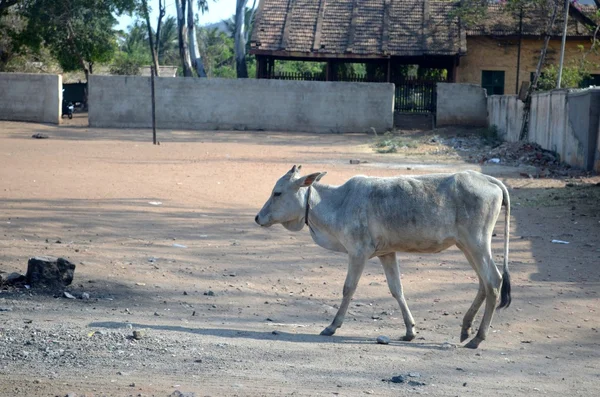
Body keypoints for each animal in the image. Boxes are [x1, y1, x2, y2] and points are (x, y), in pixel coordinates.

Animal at [253, 164, 510, 346]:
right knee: (483, 283)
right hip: (466, 246)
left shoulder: (358, 252)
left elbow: (348, 288)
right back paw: (466, 328)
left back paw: (478, 337)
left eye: (277, 193)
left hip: (477, 243)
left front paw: (332, 326)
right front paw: (409, 331)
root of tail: (489, 180)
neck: (337, 202)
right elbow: (397, 290)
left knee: (493, 281)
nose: (258, 217)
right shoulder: (387, 253)